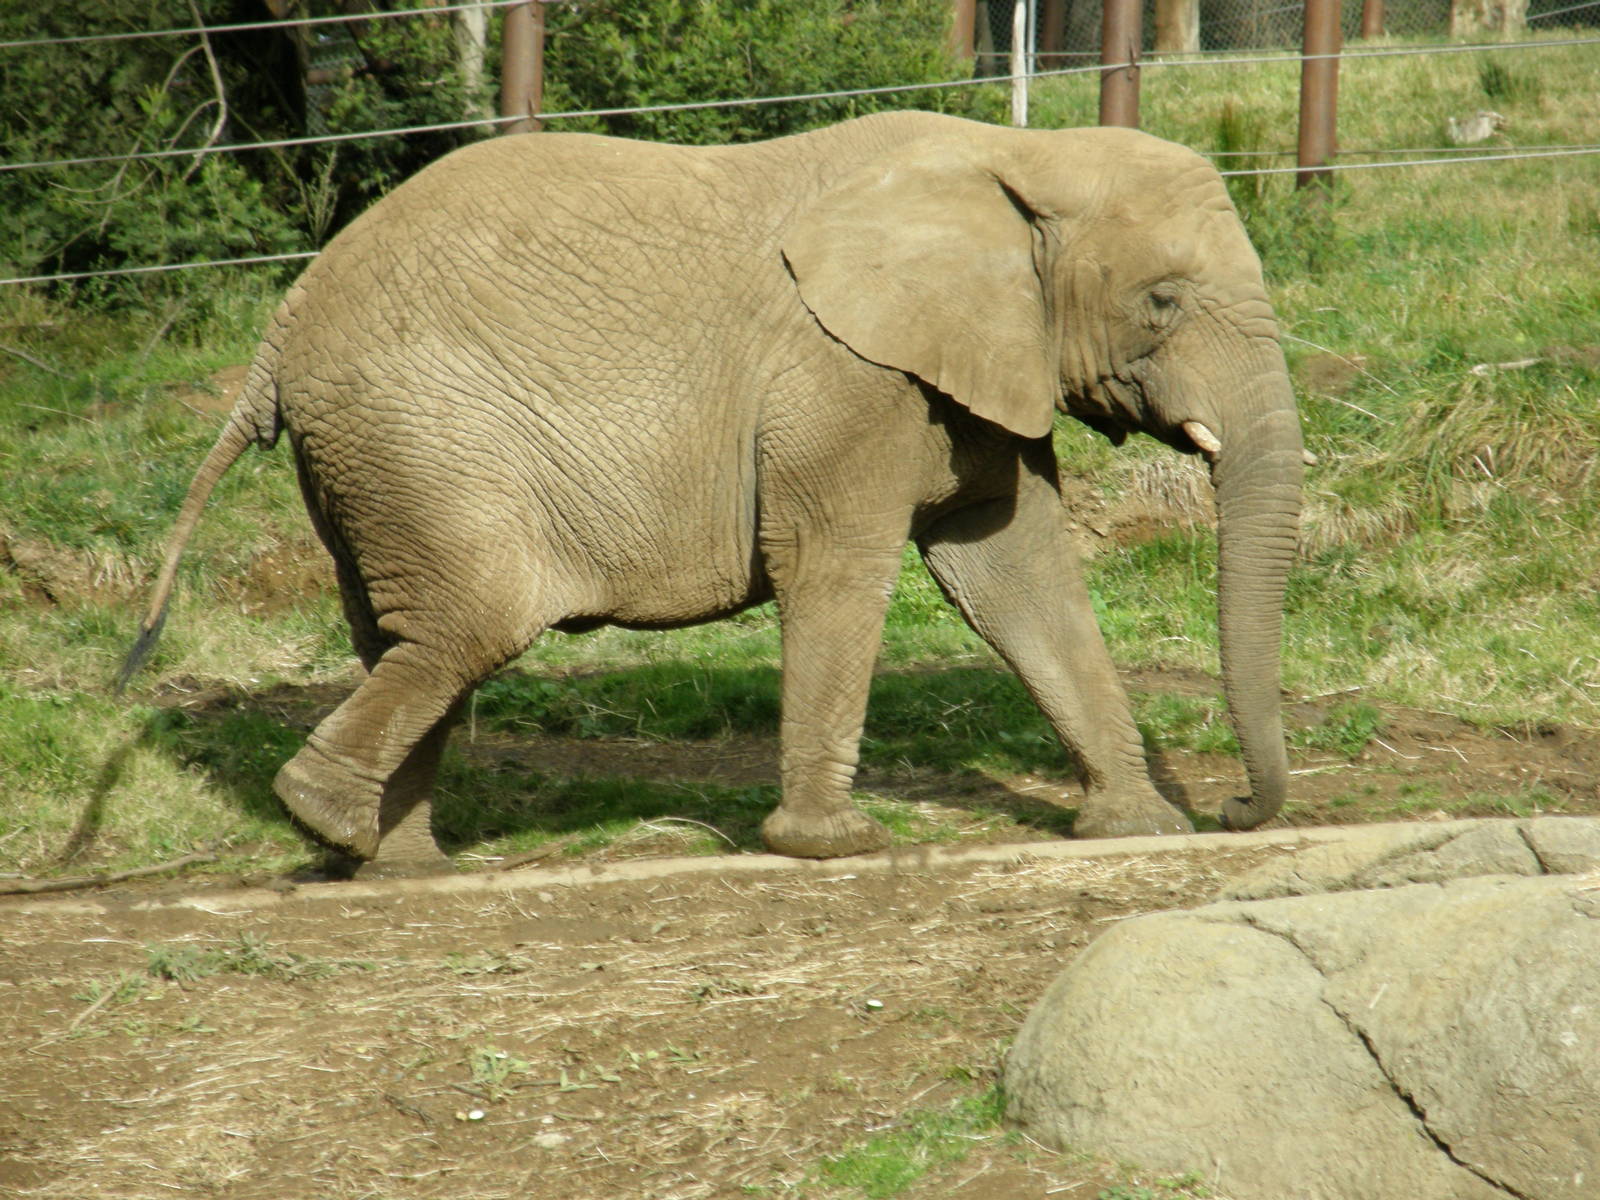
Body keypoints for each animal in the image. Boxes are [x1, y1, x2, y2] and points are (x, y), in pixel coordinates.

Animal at [121, 110, 1304, 876]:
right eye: (1162, 300)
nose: (1236, 809)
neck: (1014, 154)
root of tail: (279, 331)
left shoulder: (976, 369)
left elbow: (1017, 571)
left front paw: (1137, 829)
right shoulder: (843, 375)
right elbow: (838, 566)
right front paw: (836, 848)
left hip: (372, 460)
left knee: (407, 635)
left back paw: (403, 862)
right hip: (419, 433)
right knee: (473, 621)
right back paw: (329, 824)